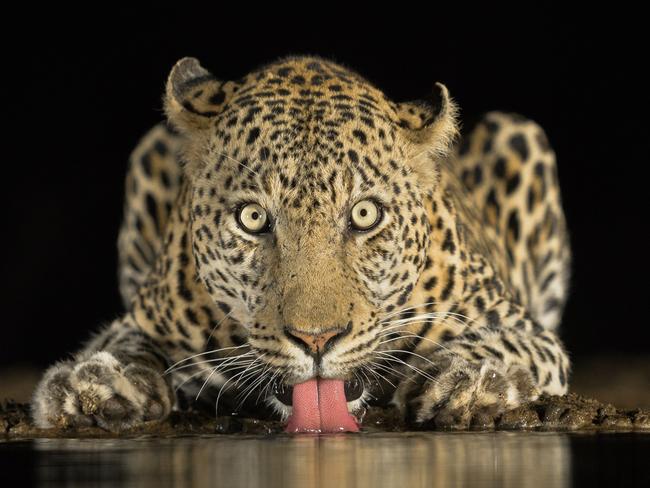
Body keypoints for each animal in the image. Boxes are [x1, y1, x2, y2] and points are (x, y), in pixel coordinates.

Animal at [31, 55, 568, 432]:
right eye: (252, 219)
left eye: (364, 214)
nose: (317, 340)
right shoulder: (146, 317)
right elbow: (122, 344)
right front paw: (96, 380)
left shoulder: (520, 323)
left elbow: (508, 343)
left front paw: (470, 378)